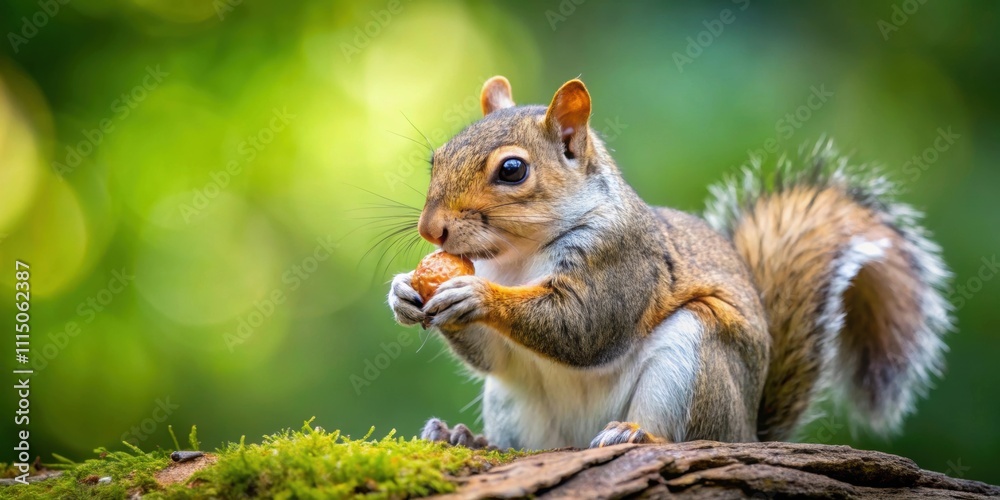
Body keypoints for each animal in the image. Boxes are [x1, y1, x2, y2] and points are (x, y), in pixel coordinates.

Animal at [387, 76, 953, 450]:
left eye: (512, 170)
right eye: (436, 157)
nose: (430, 230)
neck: (517, 258)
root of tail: (748, 433)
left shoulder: (624, 262)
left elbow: (584, 326)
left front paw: (476, 296)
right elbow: (492, 355)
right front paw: (404, 293)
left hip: (694, 358)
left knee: (682, 433)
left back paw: (637, 435)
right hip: (513, 400)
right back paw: (466, 438)